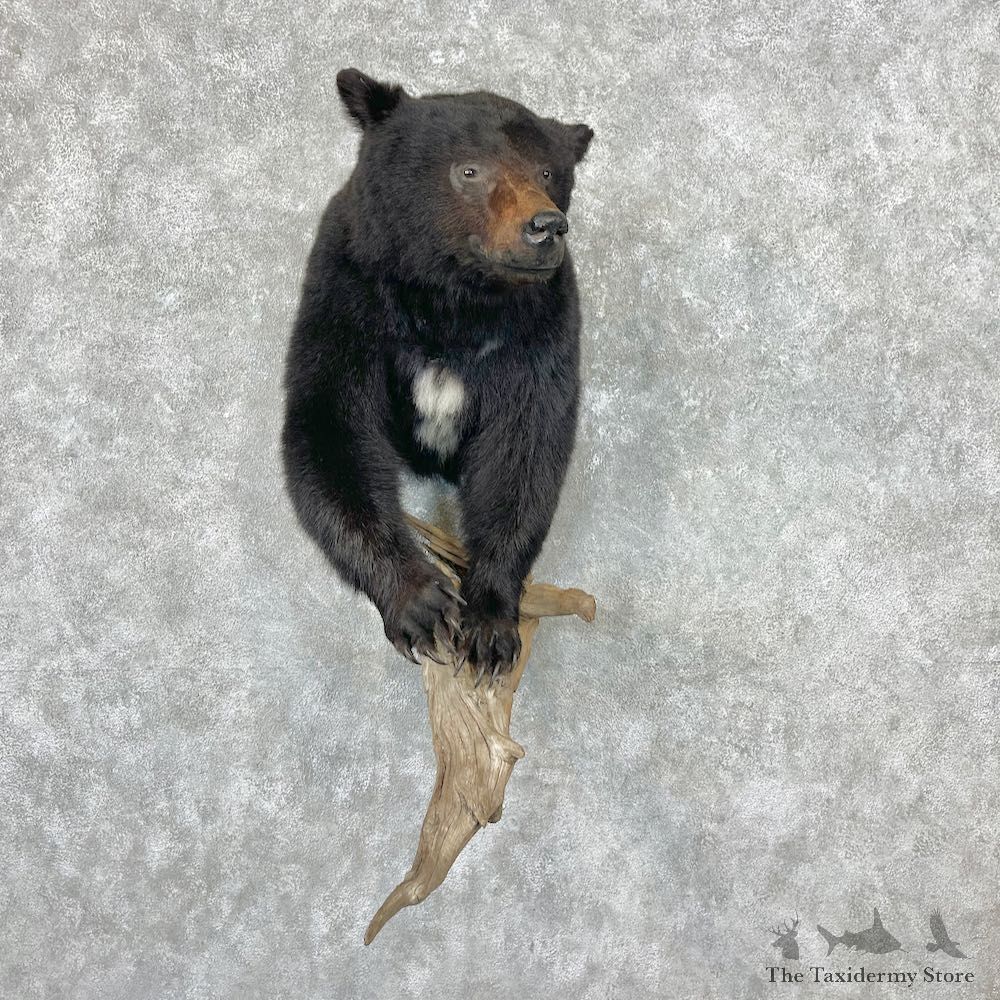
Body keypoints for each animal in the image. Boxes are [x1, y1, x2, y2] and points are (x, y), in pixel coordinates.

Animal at [281, 68, 594, 684]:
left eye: (548, 171)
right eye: (469, 169)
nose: (546, 225)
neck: (453, 304)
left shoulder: (540, 328)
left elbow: (524, 450)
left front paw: (491, 622)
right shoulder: (349, 299)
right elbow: (331, 427)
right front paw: (419, 601)